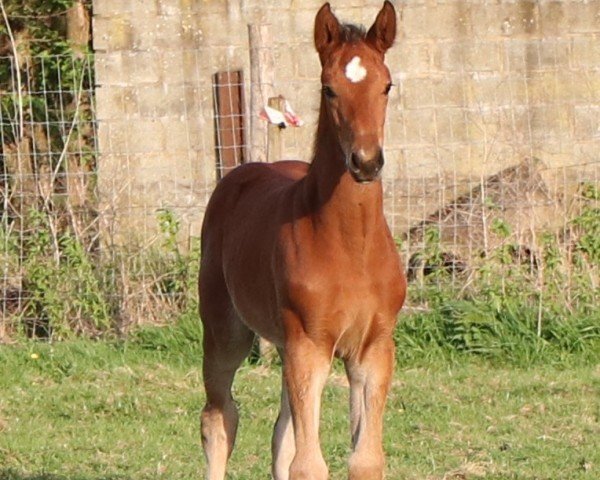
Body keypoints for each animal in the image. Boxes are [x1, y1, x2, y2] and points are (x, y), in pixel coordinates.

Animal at [199, 1, 406, 478]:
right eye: (329, 89)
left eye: (386, 85)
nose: (366, 162)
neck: (351, 247)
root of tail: (242, 172)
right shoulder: (309, 346)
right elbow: (309, 464)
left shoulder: (372, 350)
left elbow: (364, 460)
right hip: (225, 332)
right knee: (219, 419)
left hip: (283, 344)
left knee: (282, 433)